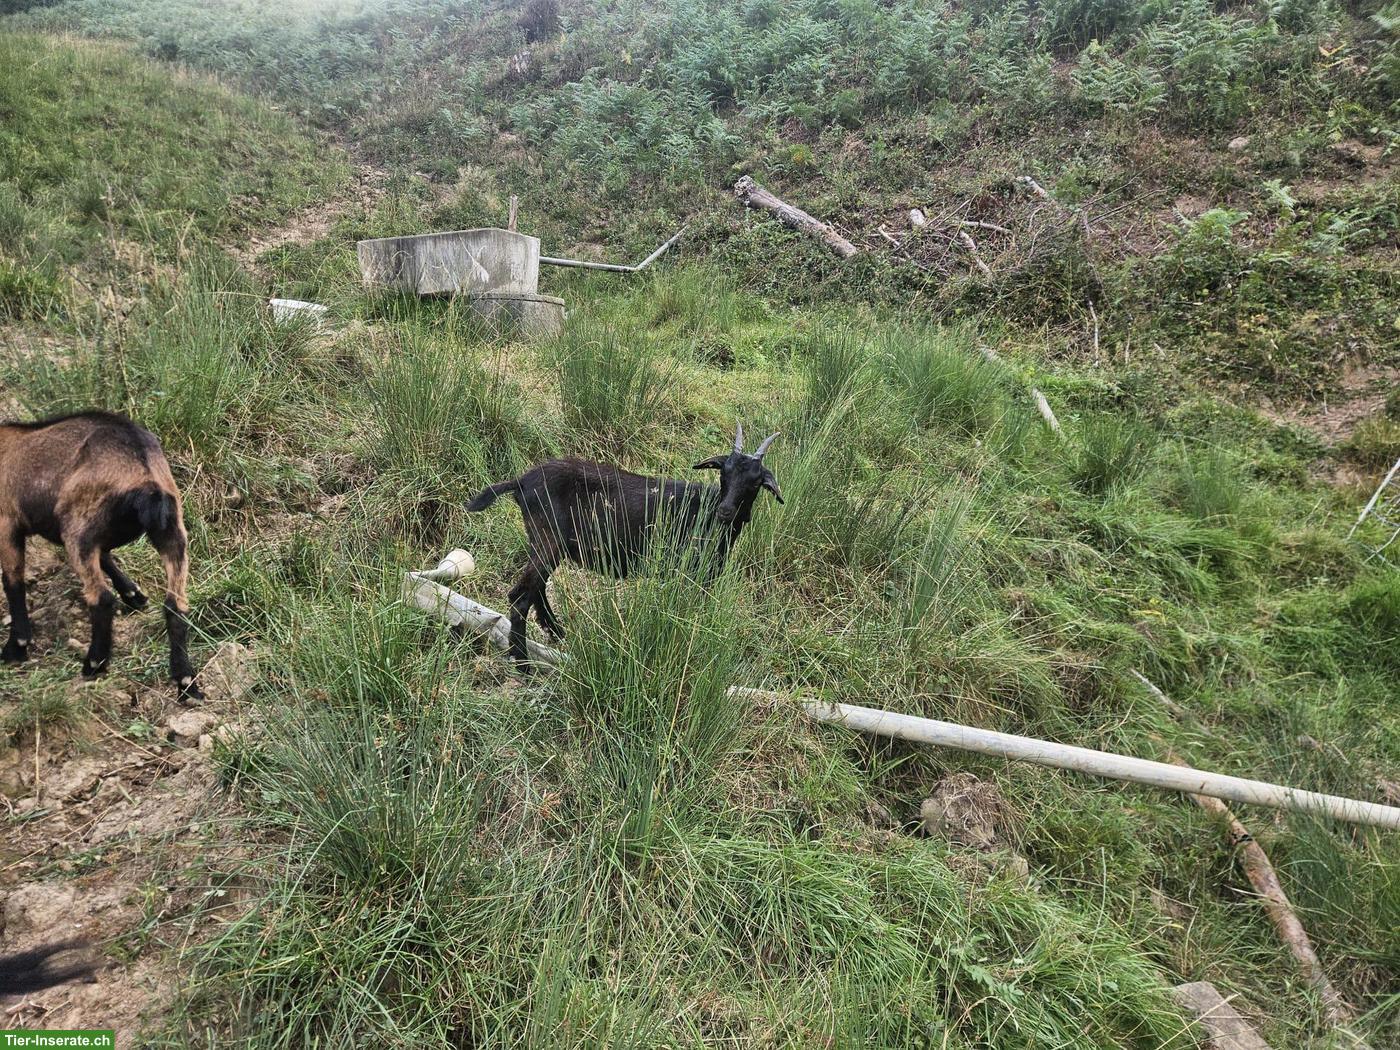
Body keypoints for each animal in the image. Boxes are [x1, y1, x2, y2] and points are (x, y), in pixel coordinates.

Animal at [0, 411, 202, 702]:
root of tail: (145, 476)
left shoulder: (7, 522)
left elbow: (12, 582)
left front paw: (16, 647)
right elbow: (107, 557)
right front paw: (135, 595)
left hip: (78, 529)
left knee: (102, 598)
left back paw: (94, 664)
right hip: (171, 530)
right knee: (176, 605)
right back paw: (186, 682)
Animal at [467, 424, 783, 665]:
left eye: (755, 481)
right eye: (723, 472)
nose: (725, 511)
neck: (704, 508)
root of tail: (521, 481)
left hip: (546, 542)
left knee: (536, 589)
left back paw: (556, 632)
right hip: (548, 539)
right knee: (520, 595)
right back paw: (522, 663)